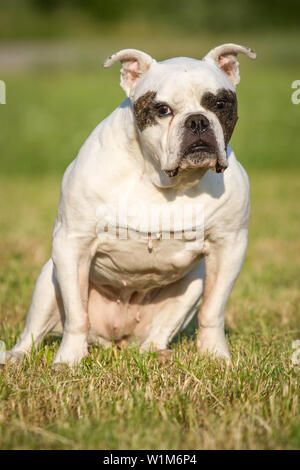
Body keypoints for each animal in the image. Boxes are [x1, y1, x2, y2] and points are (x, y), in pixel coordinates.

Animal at [7, 44, 255, 366]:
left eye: (220, 103)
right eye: (162, 109)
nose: (197, 120)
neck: (163, 180)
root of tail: (113, 338)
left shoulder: (229, 248)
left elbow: (213, 311)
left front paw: (216, 356)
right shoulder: (71, 243)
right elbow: (76, 315)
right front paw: (68, 360)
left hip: (192, 284)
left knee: (157, 334)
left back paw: (158, 353)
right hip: (48, 284)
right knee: (34, 333)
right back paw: (15, 356)